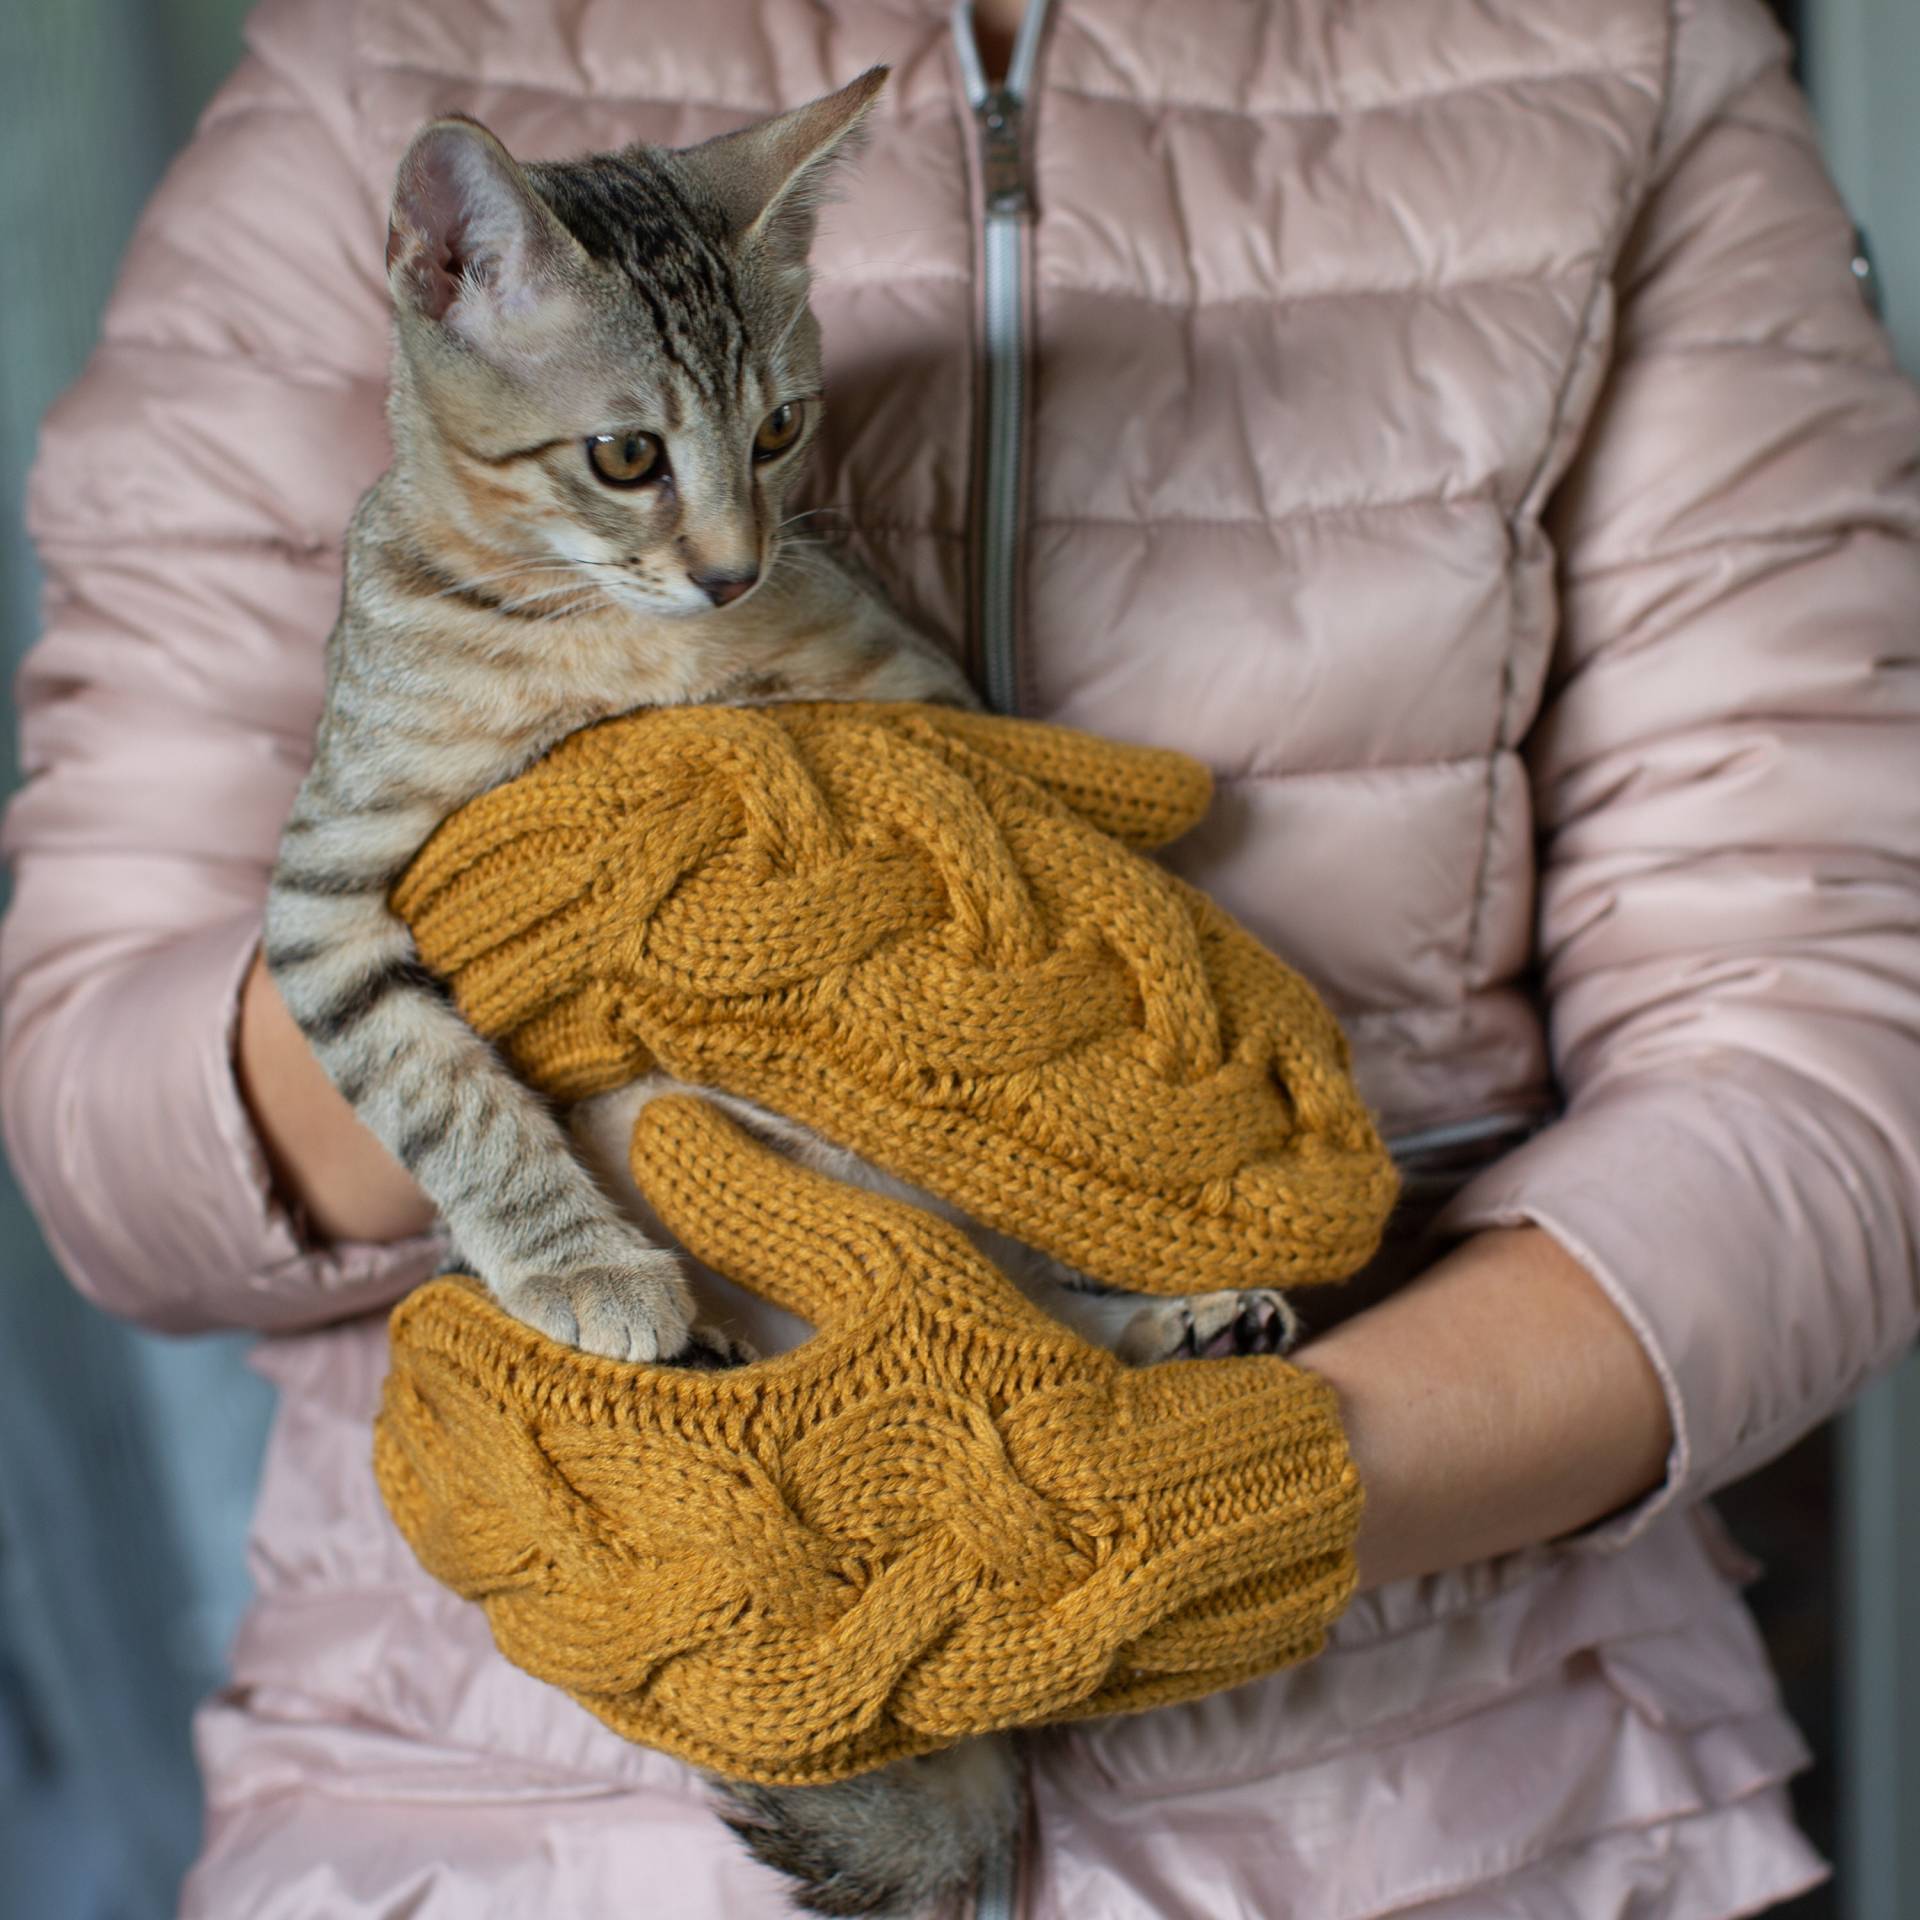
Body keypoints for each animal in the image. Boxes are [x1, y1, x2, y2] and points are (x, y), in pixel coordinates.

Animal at [266, 71, 1290, 1904]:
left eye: (781, 433)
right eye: (626, 453)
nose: (735, 570)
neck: (600, 633)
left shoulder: (919, 694)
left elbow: (942, 795)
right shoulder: (326, 891)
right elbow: (442, 1089)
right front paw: (584, 1264)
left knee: (1014, 1324)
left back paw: (1170, 1332)